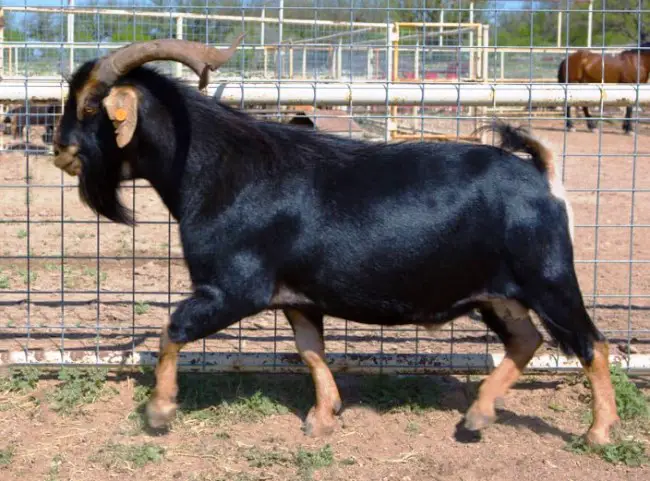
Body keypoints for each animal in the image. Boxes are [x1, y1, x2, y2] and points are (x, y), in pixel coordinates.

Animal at [51, 36, 619, 446]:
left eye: (89, 105)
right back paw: (478, 416)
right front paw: (323, 417)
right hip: (495, 293)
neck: (215, 171)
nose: (56, 148)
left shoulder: (233, 288)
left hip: (547, 277)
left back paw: (598, 432)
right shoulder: (298, 297)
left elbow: (173, 329)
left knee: (590, 343)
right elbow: (311, 352)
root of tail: (540, 174)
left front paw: (159, 410)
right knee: (526, 340)